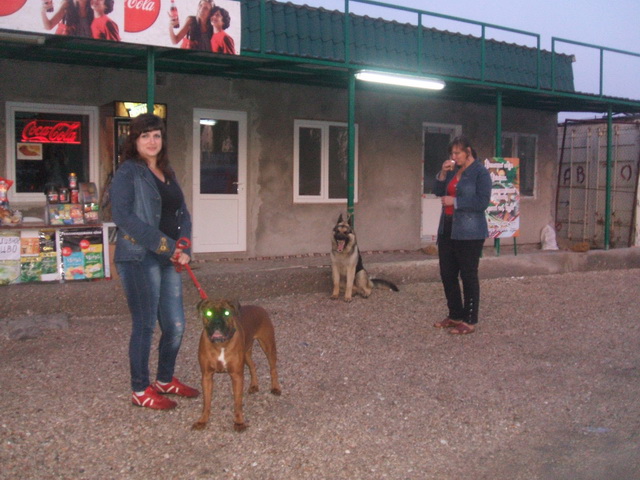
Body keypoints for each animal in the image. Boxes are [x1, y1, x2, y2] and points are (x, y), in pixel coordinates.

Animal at [192, 299, 281, 432]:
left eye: (227, 313)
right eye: (208, 313)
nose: (217, 322)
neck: (221, 345)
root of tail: (259, 307)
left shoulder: (237, 376)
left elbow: (237, 403)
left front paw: (239, 422)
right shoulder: (206, 376)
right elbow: (206, 402)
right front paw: (202, 420)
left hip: (268, 347)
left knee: (273, 369)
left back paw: (275, 388)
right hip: (246, 353)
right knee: (253, 366)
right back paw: (254, 385)